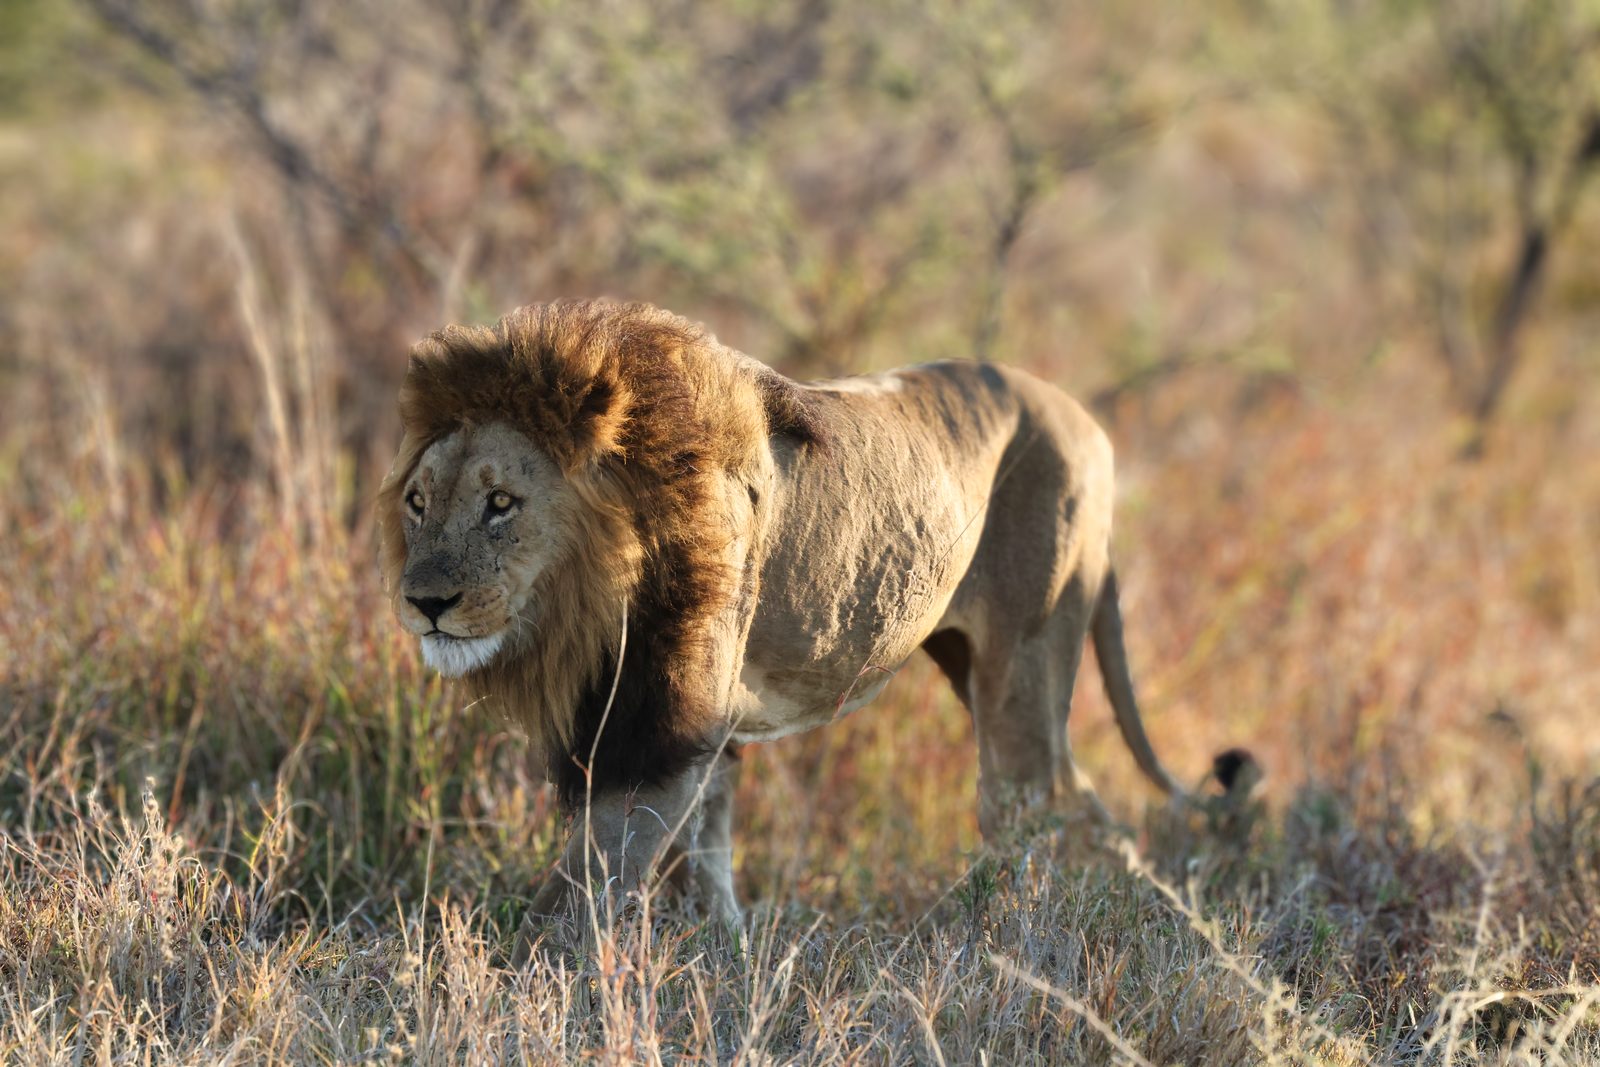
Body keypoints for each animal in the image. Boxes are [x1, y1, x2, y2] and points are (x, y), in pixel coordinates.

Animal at [379, 299, 1247, 943]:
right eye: (418, 502)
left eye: (501, 503)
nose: (422, 602)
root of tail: (1089, 424)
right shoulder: (676, 718)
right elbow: (704, 858)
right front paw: (723, 954)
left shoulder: (663, 725)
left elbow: (579, 890)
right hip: (977, 668)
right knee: (1087, 800)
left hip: (1023, 675)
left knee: (1030, 813)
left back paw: (1021, 944)